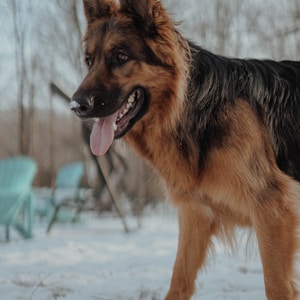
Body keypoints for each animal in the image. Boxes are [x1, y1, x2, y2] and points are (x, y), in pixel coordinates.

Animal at [70, 0, 300, 300]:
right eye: (89, 60)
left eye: (121, 56)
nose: (76, 105)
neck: (197, 110)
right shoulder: (196, 216)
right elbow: (179, 282)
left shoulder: (273, 211)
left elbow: (276, 286)